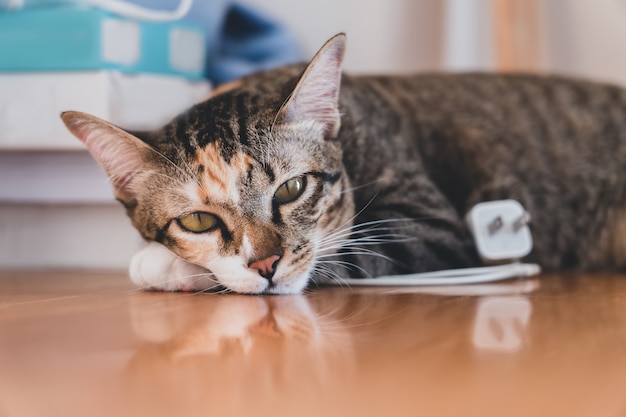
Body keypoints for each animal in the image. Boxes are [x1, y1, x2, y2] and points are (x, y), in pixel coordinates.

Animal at [62, 33, 626, 292]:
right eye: (199, 221)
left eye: (291, 190)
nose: (265, 265)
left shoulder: (436, 228)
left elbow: (343, 255)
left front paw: (168, 265)